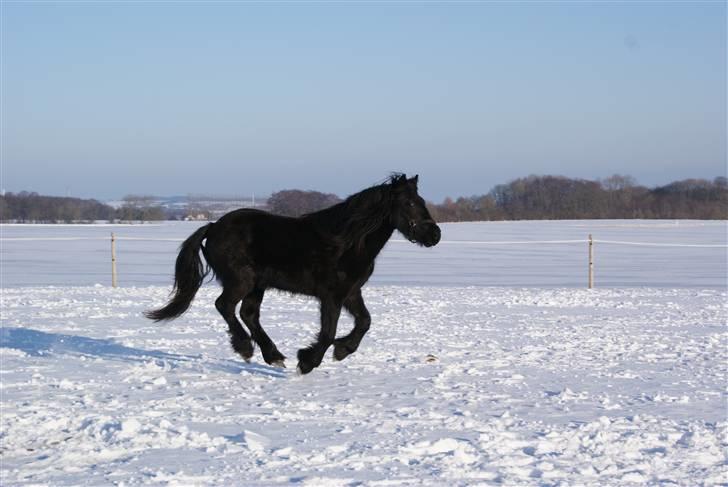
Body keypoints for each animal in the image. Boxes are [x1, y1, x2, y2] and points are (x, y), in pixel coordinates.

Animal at [145, 174, 441, 374]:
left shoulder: (351, 292)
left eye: (420, 200)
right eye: (408, 203)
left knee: (248, 314)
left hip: (257, 285)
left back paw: (273, 355)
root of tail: (213, 225)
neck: (346, 242)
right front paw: (307, 362)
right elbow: (328, 332)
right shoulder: (331, 296)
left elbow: (365, 322)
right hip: (241, 281)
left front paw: (342, 351)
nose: (435, 235)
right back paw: (246, 348)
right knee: (225, 306)